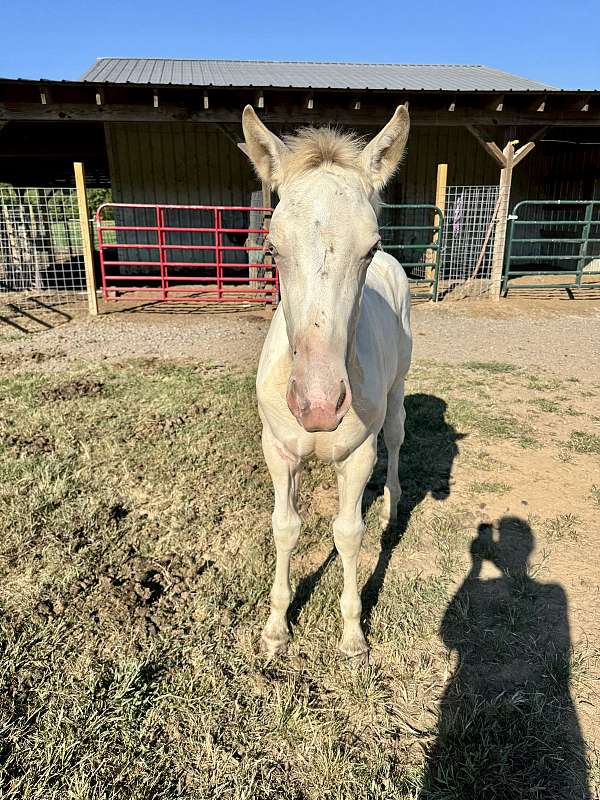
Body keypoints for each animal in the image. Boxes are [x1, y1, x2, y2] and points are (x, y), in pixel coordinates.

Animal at [242, 104, 413, 659]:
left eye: (370, 246)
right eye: (272, 247)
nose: (317, 405)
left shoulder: (357, 456)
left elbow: (349, 533)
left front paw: (353, 633)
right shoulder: (279, 450)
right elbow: (285, 528)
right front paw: (276, 627)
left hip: (398, 392)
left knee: (397, 438)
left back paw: (392, 507)